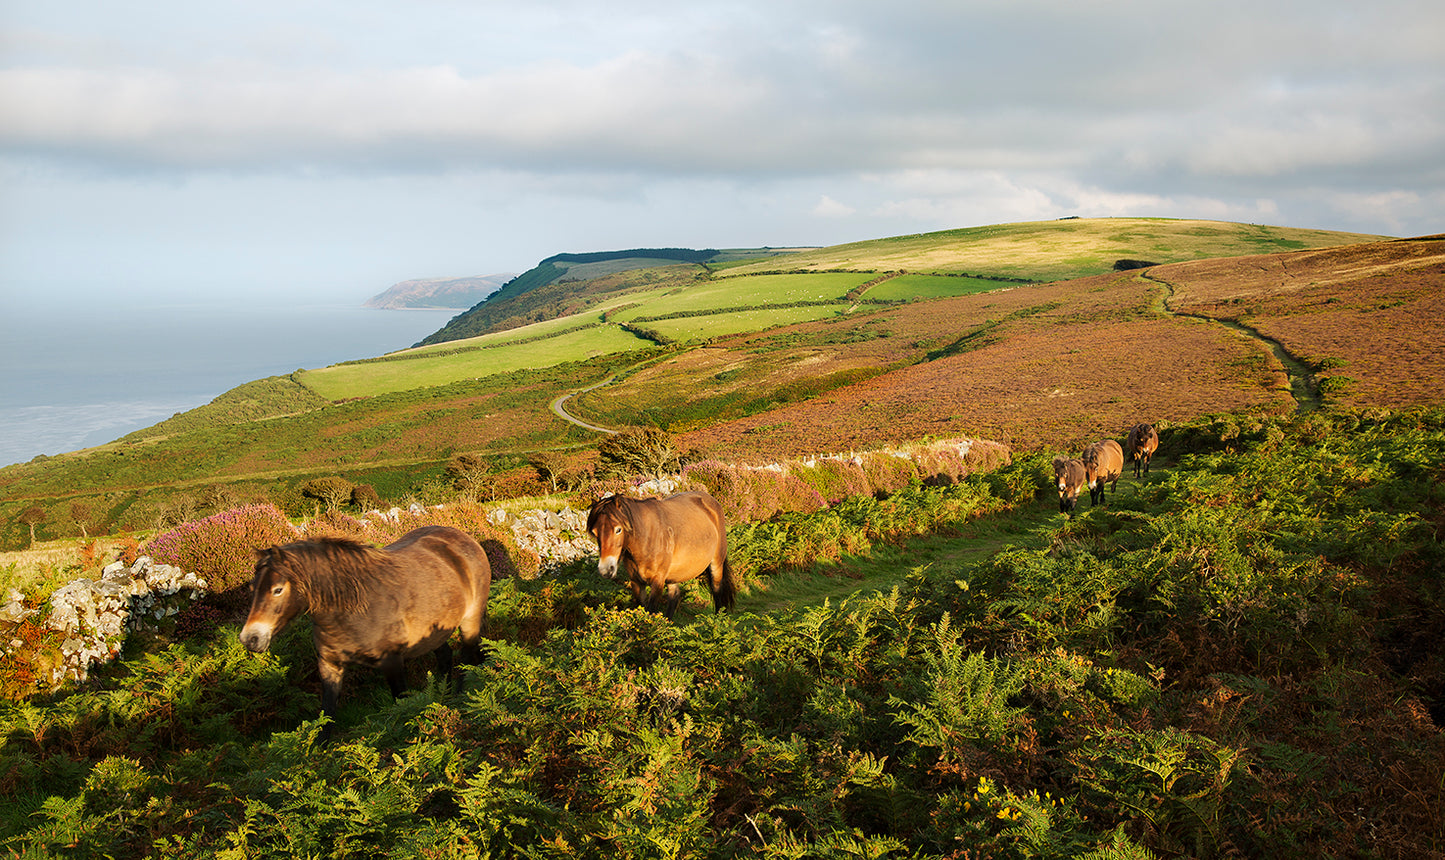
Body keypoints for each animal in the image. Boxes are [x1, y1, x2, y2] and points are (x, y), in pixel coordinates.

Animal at [583, 491, 734, 618]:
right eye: (595, 532)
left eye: (618, 530)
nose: (605, 570)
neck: (645, 540)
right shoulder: (636, 582)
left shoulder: (658, 581)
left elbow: (651, 611)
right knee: (674, 595)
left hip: (716, 564)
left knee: (716, 589)